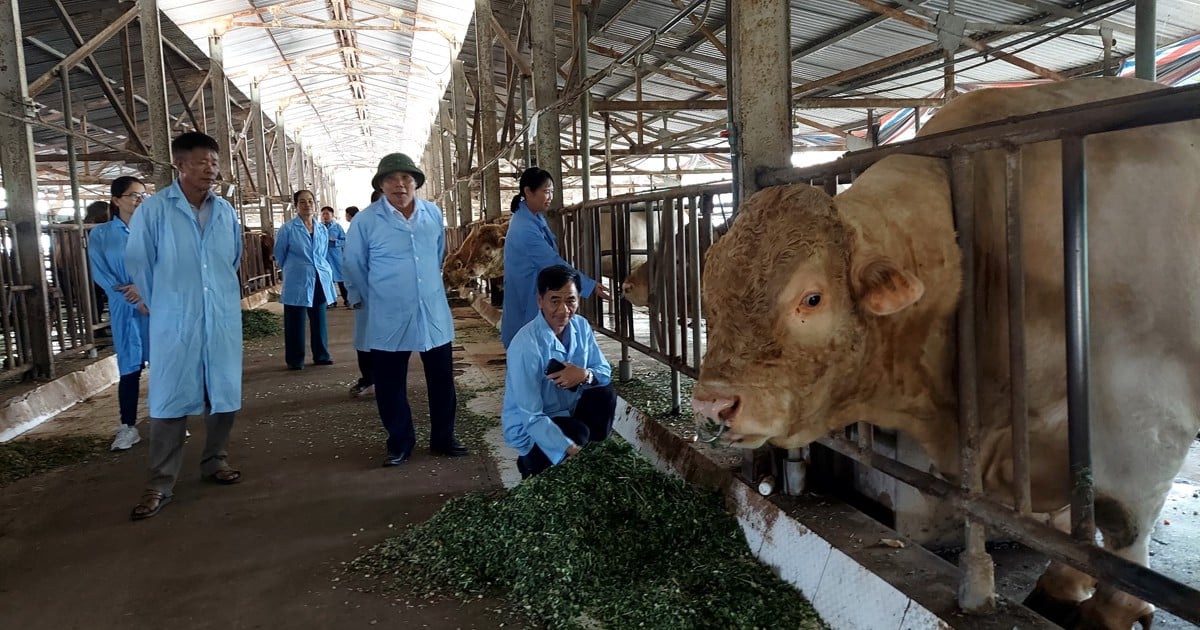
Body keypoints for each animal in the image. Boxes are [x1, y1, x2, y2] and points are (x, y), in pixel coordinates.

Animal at [696, 78, 1200, 628]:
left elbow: (1124, 524)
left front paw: (1110, 608)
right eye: (710, 292)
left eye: (812, 298)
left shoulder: (1143, 421)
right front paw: (1064, 584)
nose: (713, 403)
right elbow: (1078, 522)